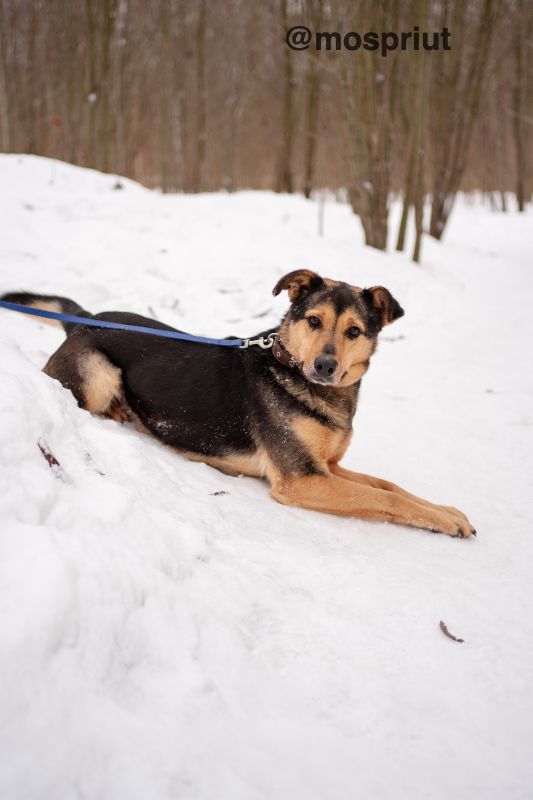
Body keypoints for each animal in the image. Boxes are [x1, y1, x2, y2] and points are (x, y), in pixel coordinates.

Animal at [0, 272, 474, 540]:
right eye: (313, 321)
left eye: (354, 331)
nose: (325, 365)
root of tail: (85, 318)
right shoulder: (301, 479)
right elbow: (382, 498)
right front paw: (445, 521)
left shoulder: (327, 467)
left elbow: (389, 487)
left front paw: (446, 511)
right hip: (99, 375)